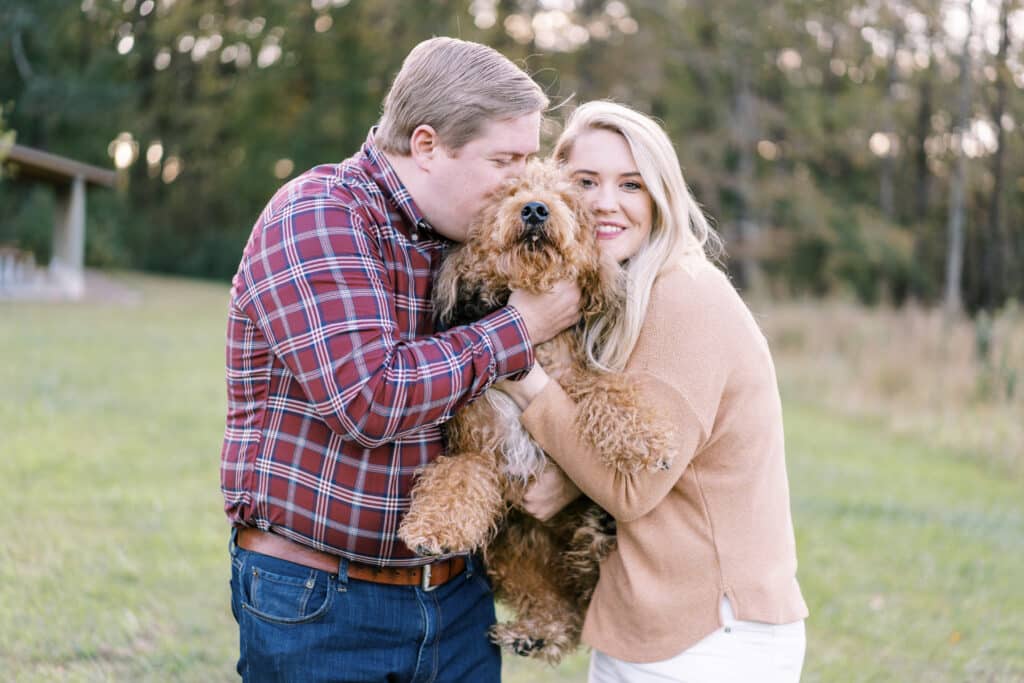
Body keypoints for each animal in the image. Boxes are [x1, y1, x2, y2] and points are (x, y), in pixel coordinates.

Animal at [397, 158, 671, 663]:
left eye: (565, 198)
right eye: (509, 191)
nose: (536, 209)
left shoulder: (576, 382)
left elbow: (608, 391)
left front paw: (644, 438)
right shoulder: (477, 450)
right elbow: (455, 480)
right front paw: (434, 530)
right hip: (513, 545)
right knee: (560, 605)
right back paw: (536, 633)